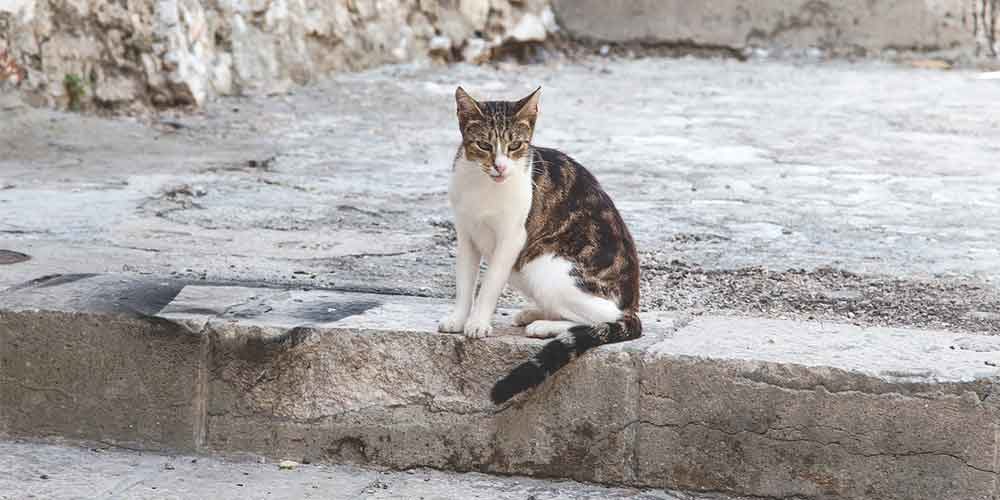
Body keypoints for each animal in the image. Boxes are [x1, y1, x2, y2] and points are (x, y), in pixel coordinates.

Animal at [440, 86, 644, 404]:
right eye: (484, 145)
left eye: (515, 146)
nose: (500, 166)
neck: (484, 186)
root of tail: (631, 300)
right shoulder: (465, 235)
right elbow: (464, 283)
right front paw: (459, 318)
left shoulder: (512, 239)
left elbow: (489, 284)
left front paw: (478, 322)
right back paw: (534, 313)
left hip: (545, 264)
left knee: (605, 316)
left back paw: (545, 326)